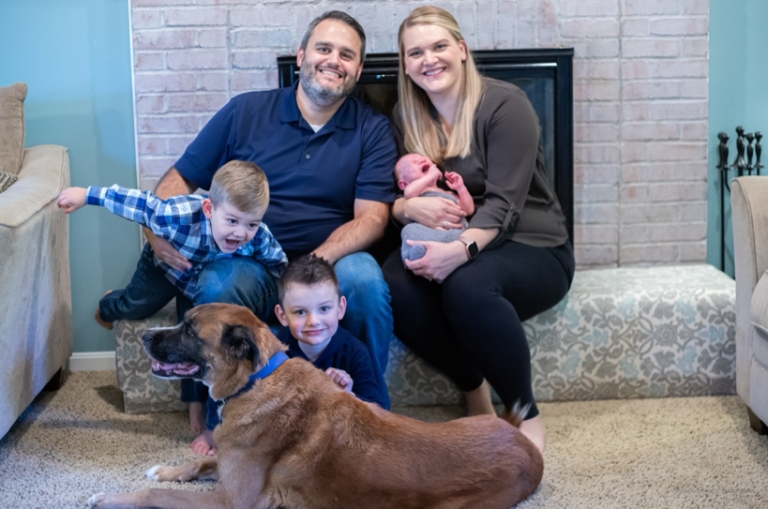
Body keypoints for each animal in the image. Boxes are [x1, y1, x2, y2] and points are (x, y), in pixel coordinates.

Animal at [87, 304, 544, 506]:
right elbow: (200, 461)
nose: (145, 336)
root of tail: (529, 449)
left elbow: (154, 495)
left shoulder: (232, 501)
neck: (254, 382)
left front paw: (111, 498)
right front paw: (167, 469)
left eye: (189, 330)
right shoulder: (230, 465)